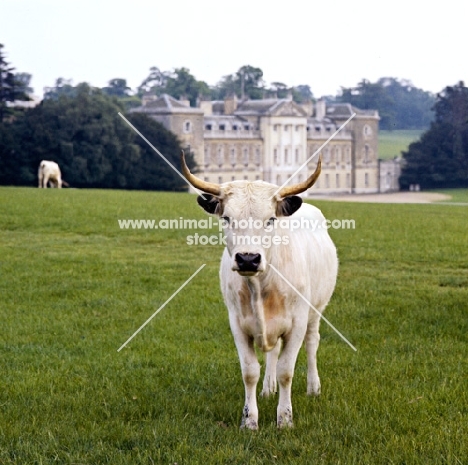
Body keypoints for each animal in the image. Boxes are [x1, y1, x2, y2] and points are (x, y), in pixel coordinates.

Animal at [181, 151, 338, 428]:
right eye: (227, 218)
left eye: (271, 219)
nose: (248, 259)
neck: (259, 287)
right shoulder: (237, 323)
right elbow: (250, 371)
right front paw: (250, 420)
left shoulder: (297, 323)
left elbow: (287, 370)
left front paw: (284, 419)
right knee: (272, 352)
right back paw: (268, 389)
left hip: (317, 310)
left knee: (312, 343)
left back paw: (313, 388)